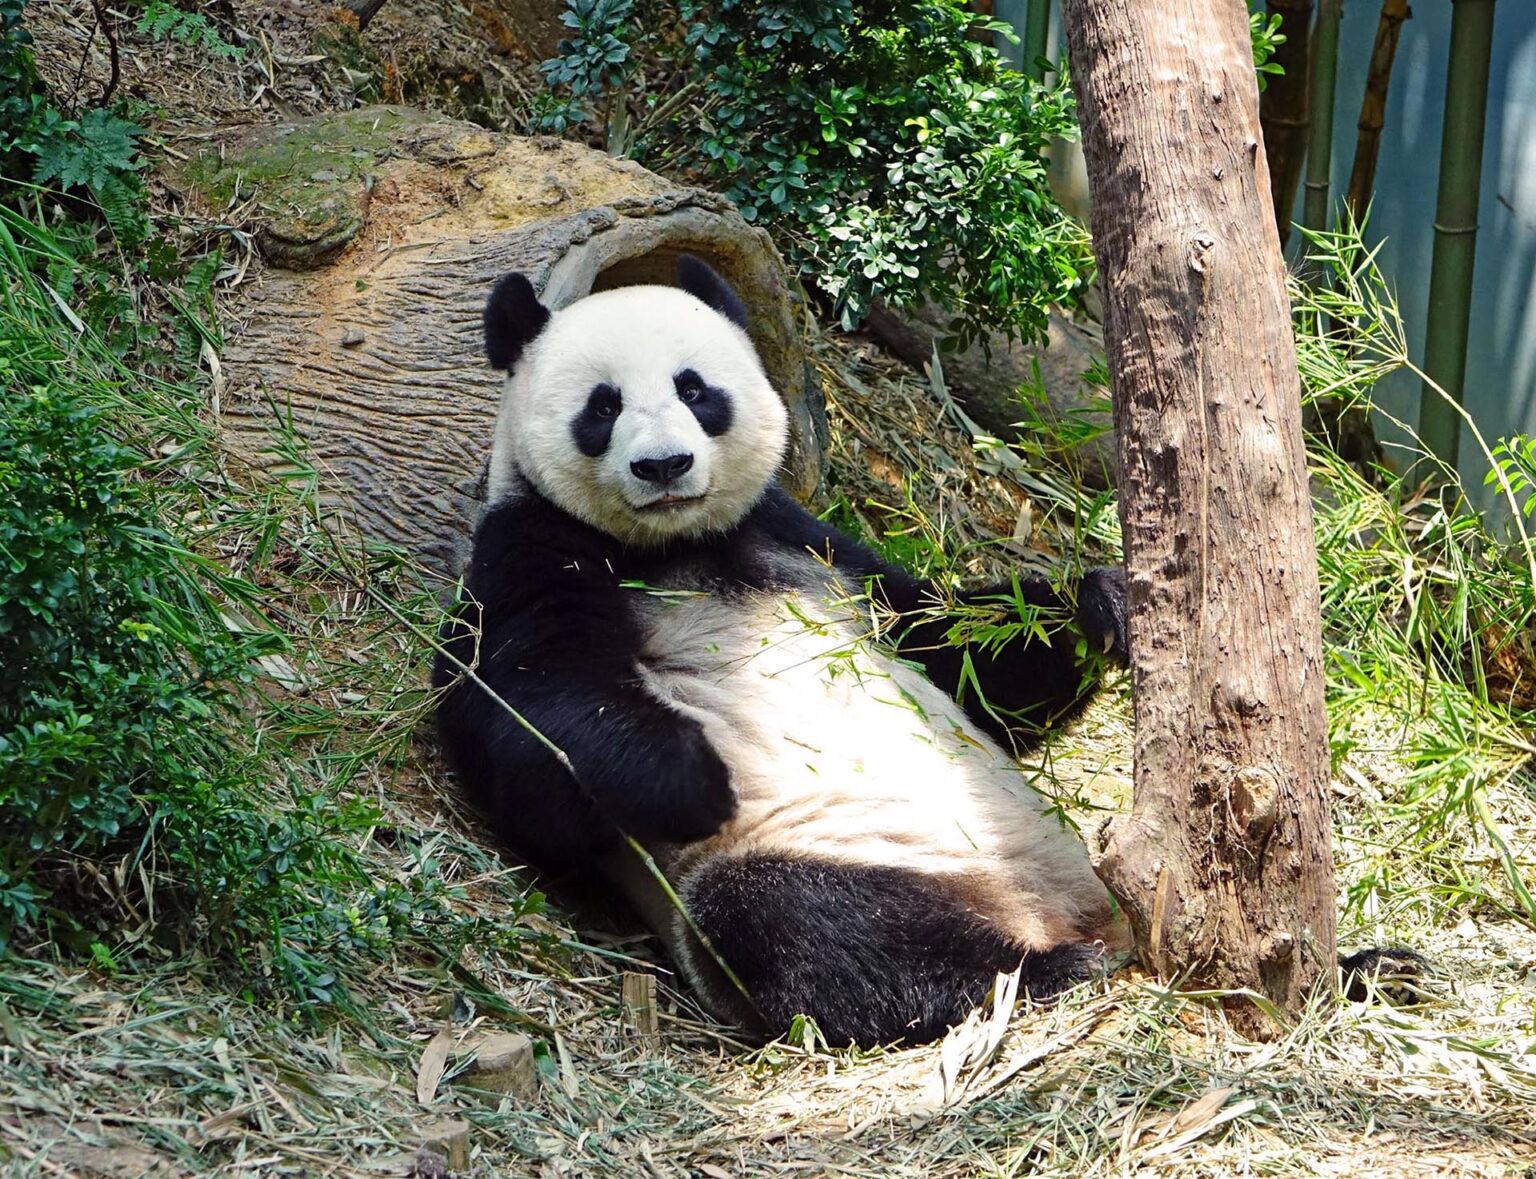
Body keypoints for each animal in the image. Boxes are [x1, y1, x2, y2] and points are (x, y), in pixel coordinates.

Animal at [431, 255, 1134, 1049]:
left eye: (694, 389)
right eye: (602, 407)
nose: (664, 465)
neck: (676, 544)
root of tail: (1038, 907)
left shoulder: (805, 540)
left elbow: (956, 652)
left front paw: (1101, 604)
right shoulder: (528, 547)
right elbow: (525, 721)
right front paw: (691, 777)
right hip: (826, 849)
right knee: (808, 924)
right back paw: (1039, 969)